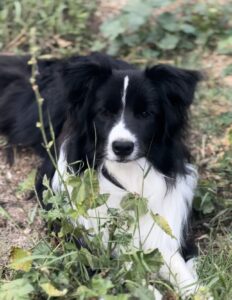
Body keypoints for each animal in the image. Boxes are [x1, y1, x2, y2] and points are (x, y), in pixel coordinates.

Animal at [0, 53, 202, 298]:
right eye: (105, 112)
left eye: (145, 114)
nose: (122, 147)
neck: (127, 175)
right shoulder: (87, 248)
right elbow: (125, 272)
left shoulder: (164, 234)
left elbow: (184, 274)